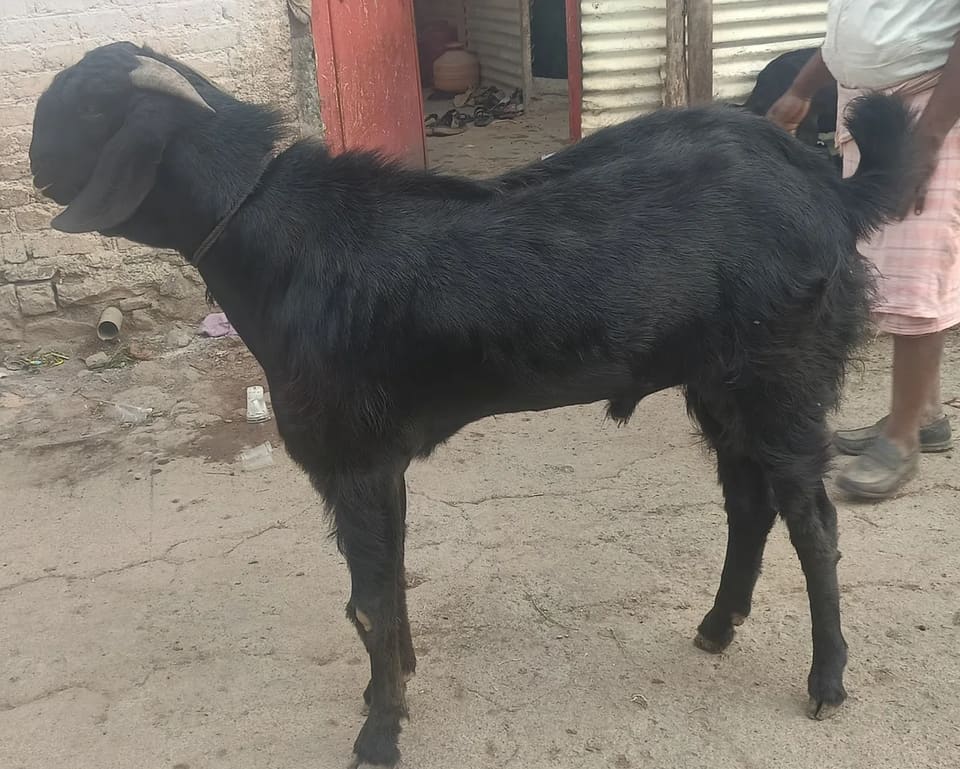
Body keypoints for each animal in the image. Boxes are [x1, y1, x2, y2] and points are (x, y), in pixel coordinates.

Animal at [30, 42, 917, 767]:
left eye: (84, 109)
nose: (35, 168)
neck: (276, 233)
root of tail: (830, 189)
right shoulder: (381, 462)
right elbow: (383, 584)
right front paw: (392, 684)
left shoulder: (352, 455)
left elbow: (369, 597)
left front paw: (378, 735)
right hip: (721, 382)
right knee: (748, 503)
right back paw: (717, 624)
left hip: (784, 375)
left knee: (812, 521)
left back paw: (826, 679)